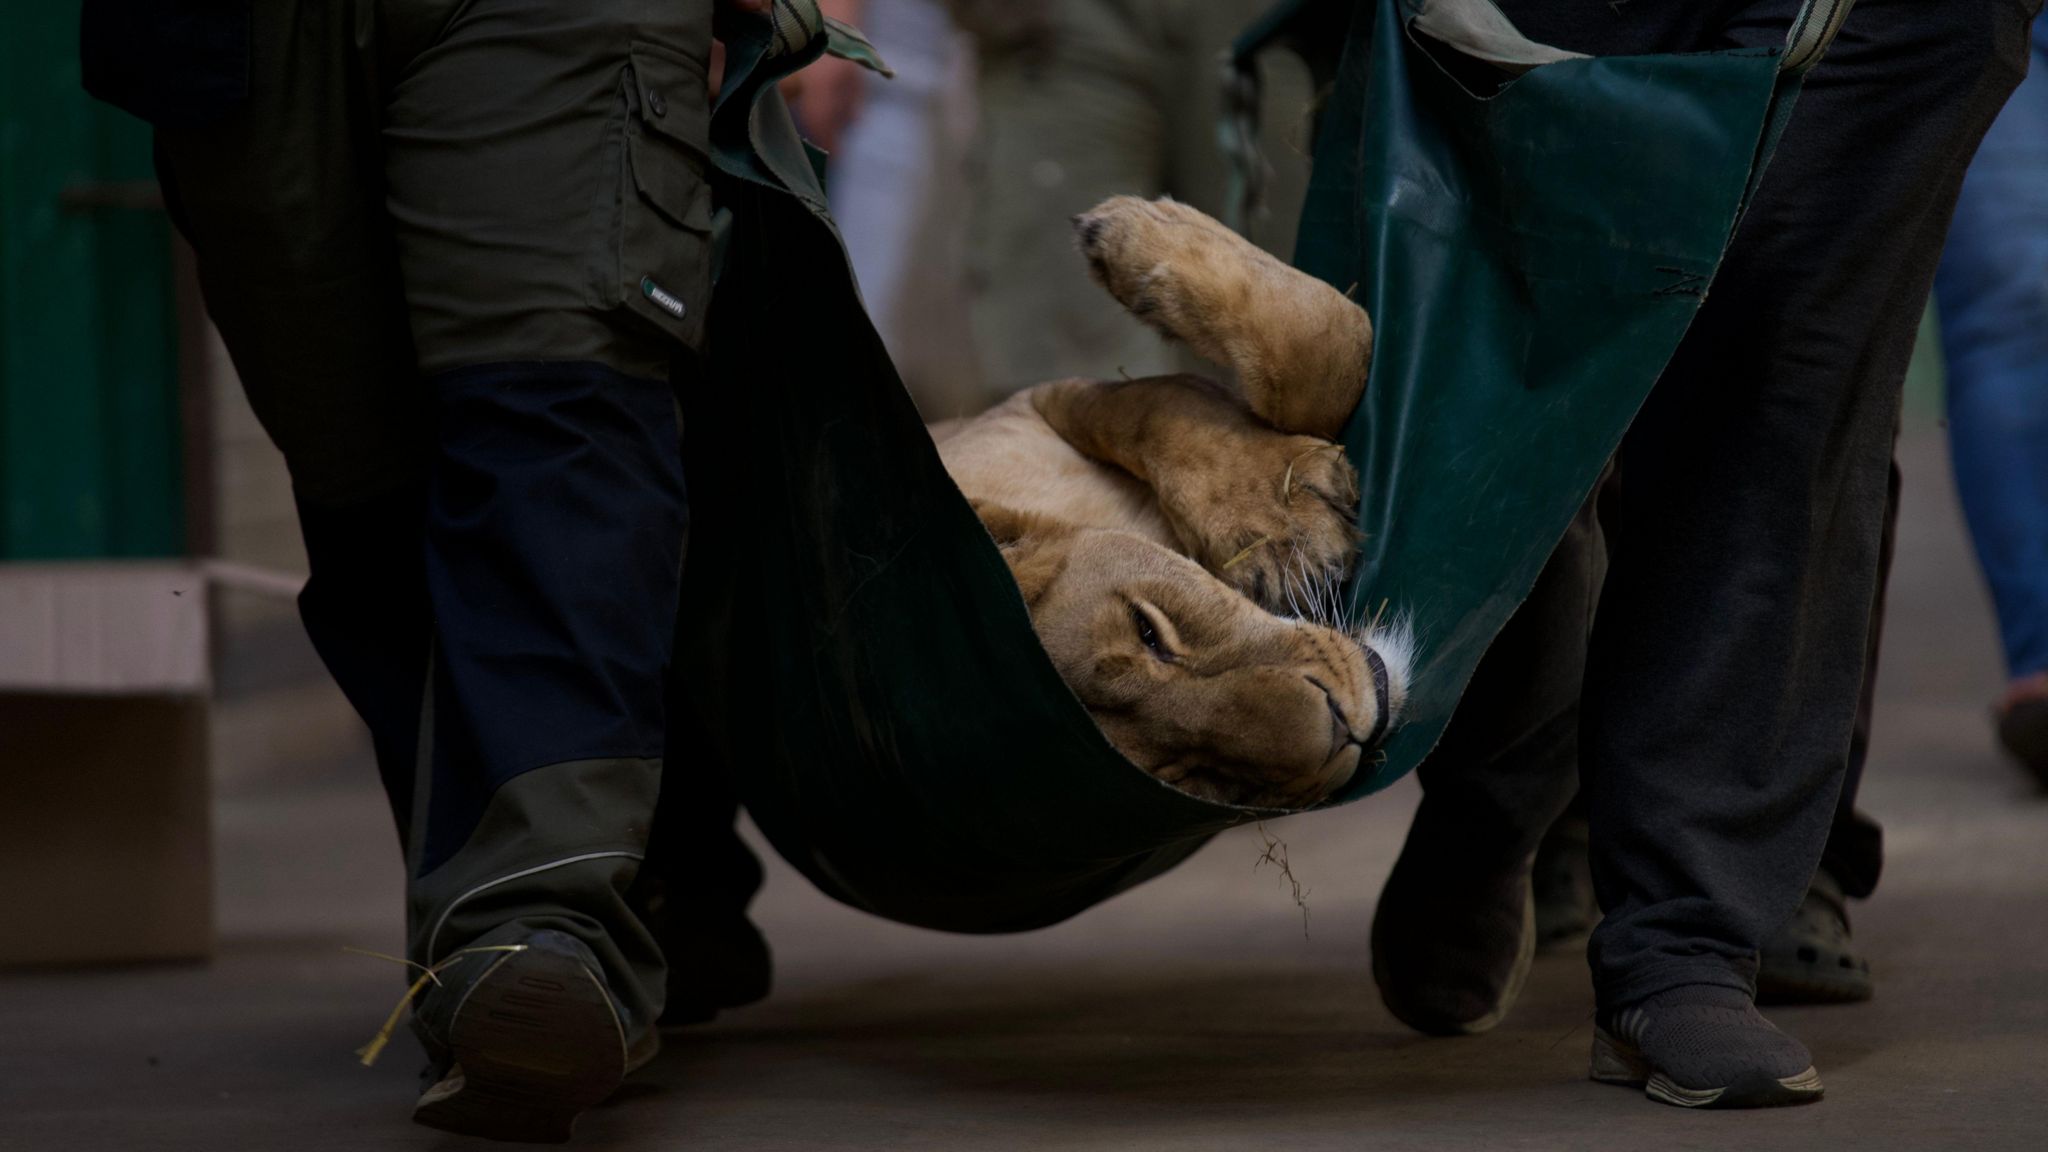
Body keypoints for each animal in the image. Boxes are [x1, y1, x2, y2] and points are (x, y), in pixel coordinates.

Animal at [937, 192, 1417, 807]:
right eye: (1192, 779)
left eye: (1150, 632)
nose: (1342, 729)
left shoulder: (1029, 407)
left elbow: (1322, 348)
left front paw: (1280, 525)